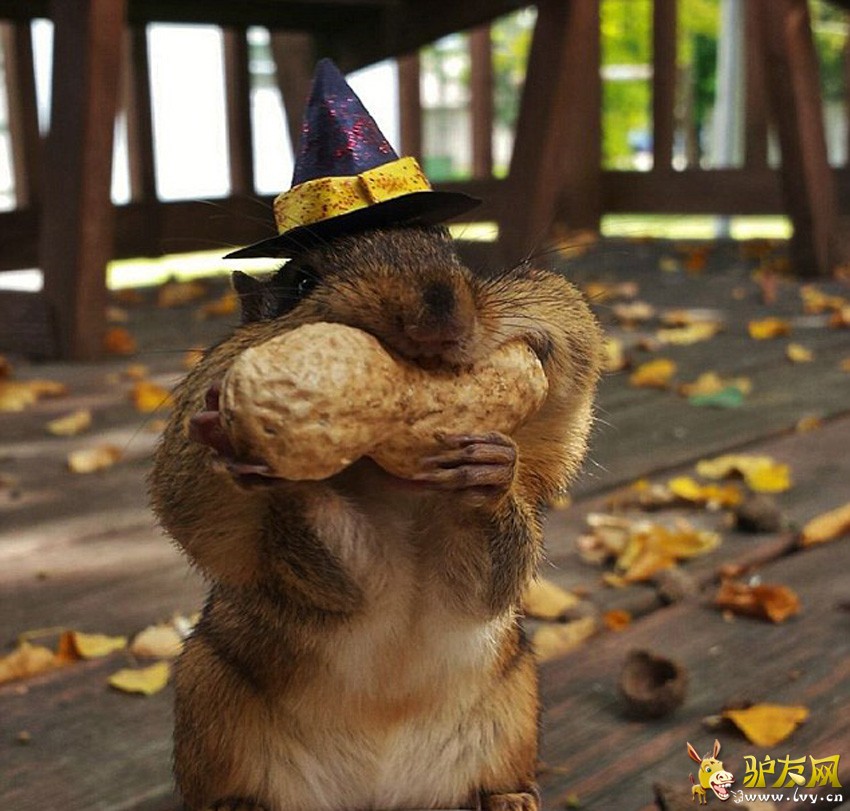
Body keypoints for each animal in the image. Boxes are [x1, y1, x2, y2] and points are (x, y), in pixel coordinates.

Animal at [149, 224, 603, 811]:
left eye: (454, 254)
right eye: (300, 282)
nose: (440, 310)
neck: (391, 483)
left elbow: (492, 581)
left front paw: (491, 470)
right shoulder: (328, 578)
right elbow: (348, 572)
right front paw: (274, 468)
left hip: (517, 698)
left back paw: (506, 797)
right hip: (206, 692)